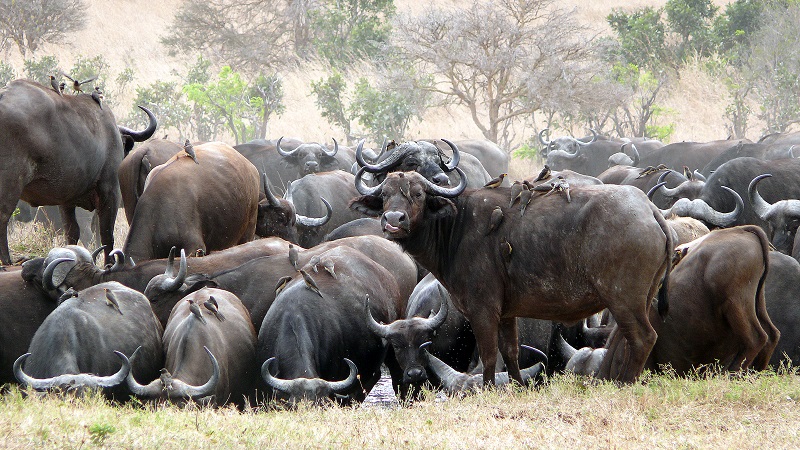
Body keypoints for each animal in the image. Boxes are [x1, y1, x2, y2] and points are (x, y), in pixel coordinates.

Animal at [0, 79, 156, 266]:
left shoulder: (65, 200)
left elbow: (72, 232)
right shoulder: (110, 190)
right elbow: (106, 233)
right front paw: (109, 263)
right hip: (10, 184)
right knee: (2, 217)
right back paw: (6, 261)